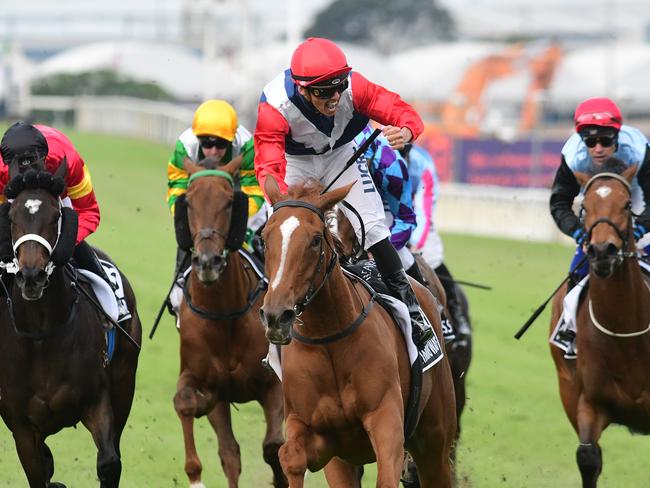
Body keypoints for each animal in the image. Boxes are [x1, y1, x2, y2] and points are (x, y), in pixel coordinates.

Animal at [0, 165, 140, 488]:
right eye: (11, 217)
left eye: (55, 216)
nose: (32, 276)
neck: (41, 334)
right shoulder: (22, 427)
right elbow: (39, 473)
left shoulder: (96, 401)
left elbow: (109, 463)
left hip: (125, 381)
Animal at [171, 157, 284, 488]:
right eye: (189, 202)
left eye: (229, 201)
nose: (208, 262)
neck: (224, 315)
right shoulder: (203, 380)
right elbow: (185, 402)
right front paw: (195, 474)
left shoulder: (274, 384)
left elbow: (274, 447)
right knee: (230, 454)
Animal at [256, 180, 454, 488]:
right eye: (265, 238)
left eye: (315, 240)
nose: (277, 314)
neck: (329, 339)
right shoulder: (321, 439)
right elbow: (290, 456)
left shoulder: (386, 421)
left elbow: (387, 473)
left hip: (434, 439)